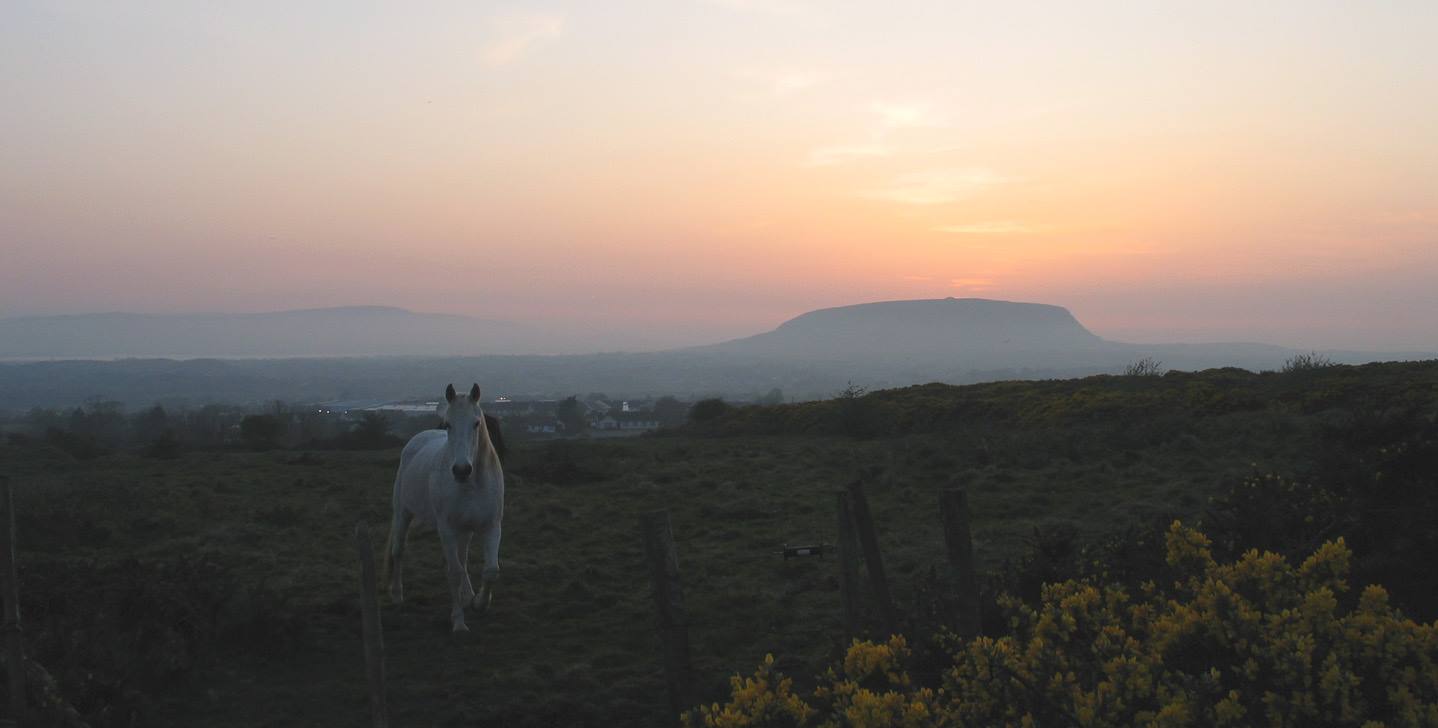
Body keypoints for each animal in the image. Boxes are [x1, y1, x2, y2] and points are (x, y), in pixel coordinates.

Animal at [382, 379, 506, 630]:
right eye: (448, 424)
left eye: (476, 423)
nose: (461, 470)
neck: (472, 484)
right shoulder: (447, 529)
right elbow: (454, 573)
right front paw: (458, 622)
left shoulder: (491, 526)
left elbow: (490, 570)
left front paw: (479, 603)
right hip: (403, 513)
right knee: (398, 551)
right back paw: (398, 596)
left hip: (465, 529)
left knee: (464, 558)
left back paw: (468, 596)